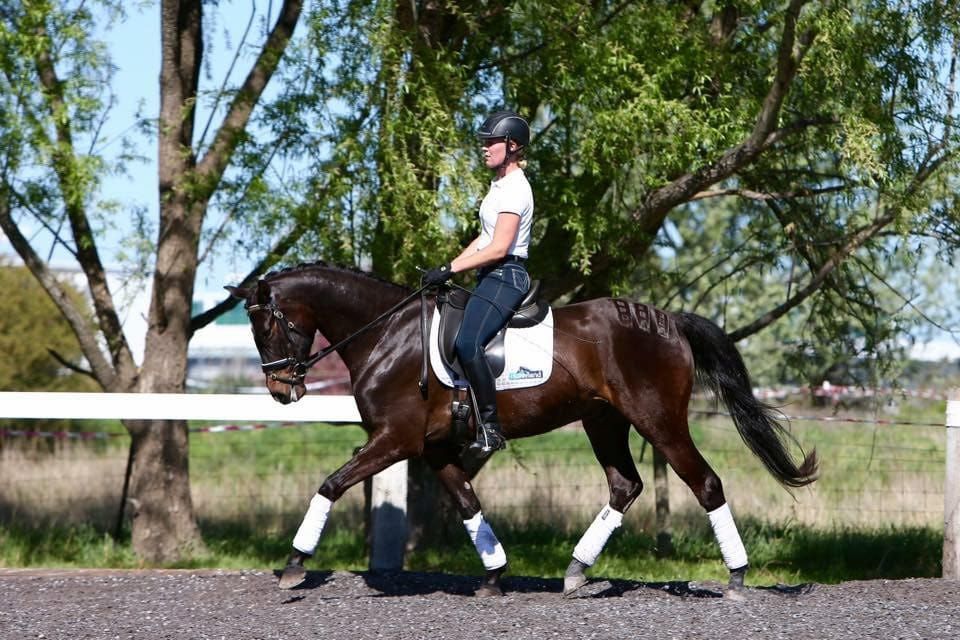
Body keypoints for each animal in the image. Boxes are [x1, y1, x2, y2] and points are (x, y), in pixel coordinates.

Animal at [227, 262, 817, 597]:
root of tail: (668, 321)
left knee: (705, 483)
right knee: (624, 486)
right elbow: (468, 503)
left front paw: (293, 566)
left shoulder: (393, 440)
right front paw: (494, 574)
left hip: (659, 420)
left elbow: (330, 484)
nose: (281, 390)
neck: (387, 334)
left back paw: (737, 578)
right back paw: (576, 571)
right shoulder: (433, 447)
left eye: (265, 323)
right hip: (603, 421)